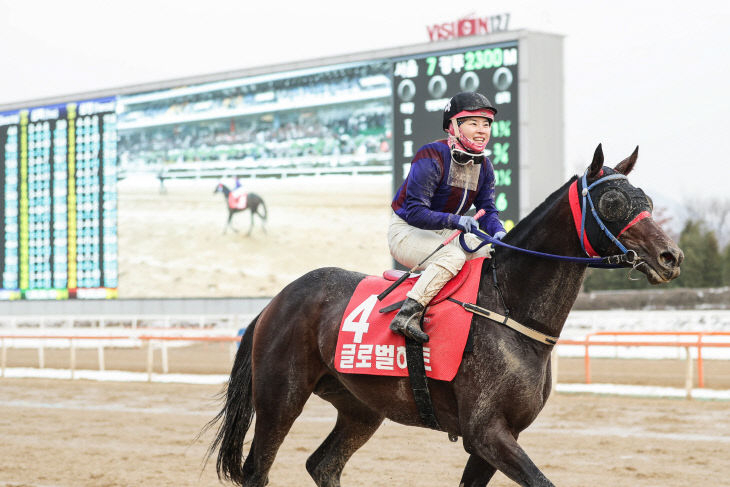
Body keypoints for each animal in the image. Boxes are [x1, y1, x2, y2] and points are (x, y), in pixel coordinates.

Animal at [203, 146, 684, 487]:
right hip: (280, 397)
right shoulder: (486, 431)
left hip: (360, 407)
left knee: (323, 465)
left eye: (646, 198)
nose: (671, 256)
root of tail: (276, 300)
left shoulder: (499, 436)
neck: (511, 309)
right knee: (257, 470)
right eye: (614, 200)